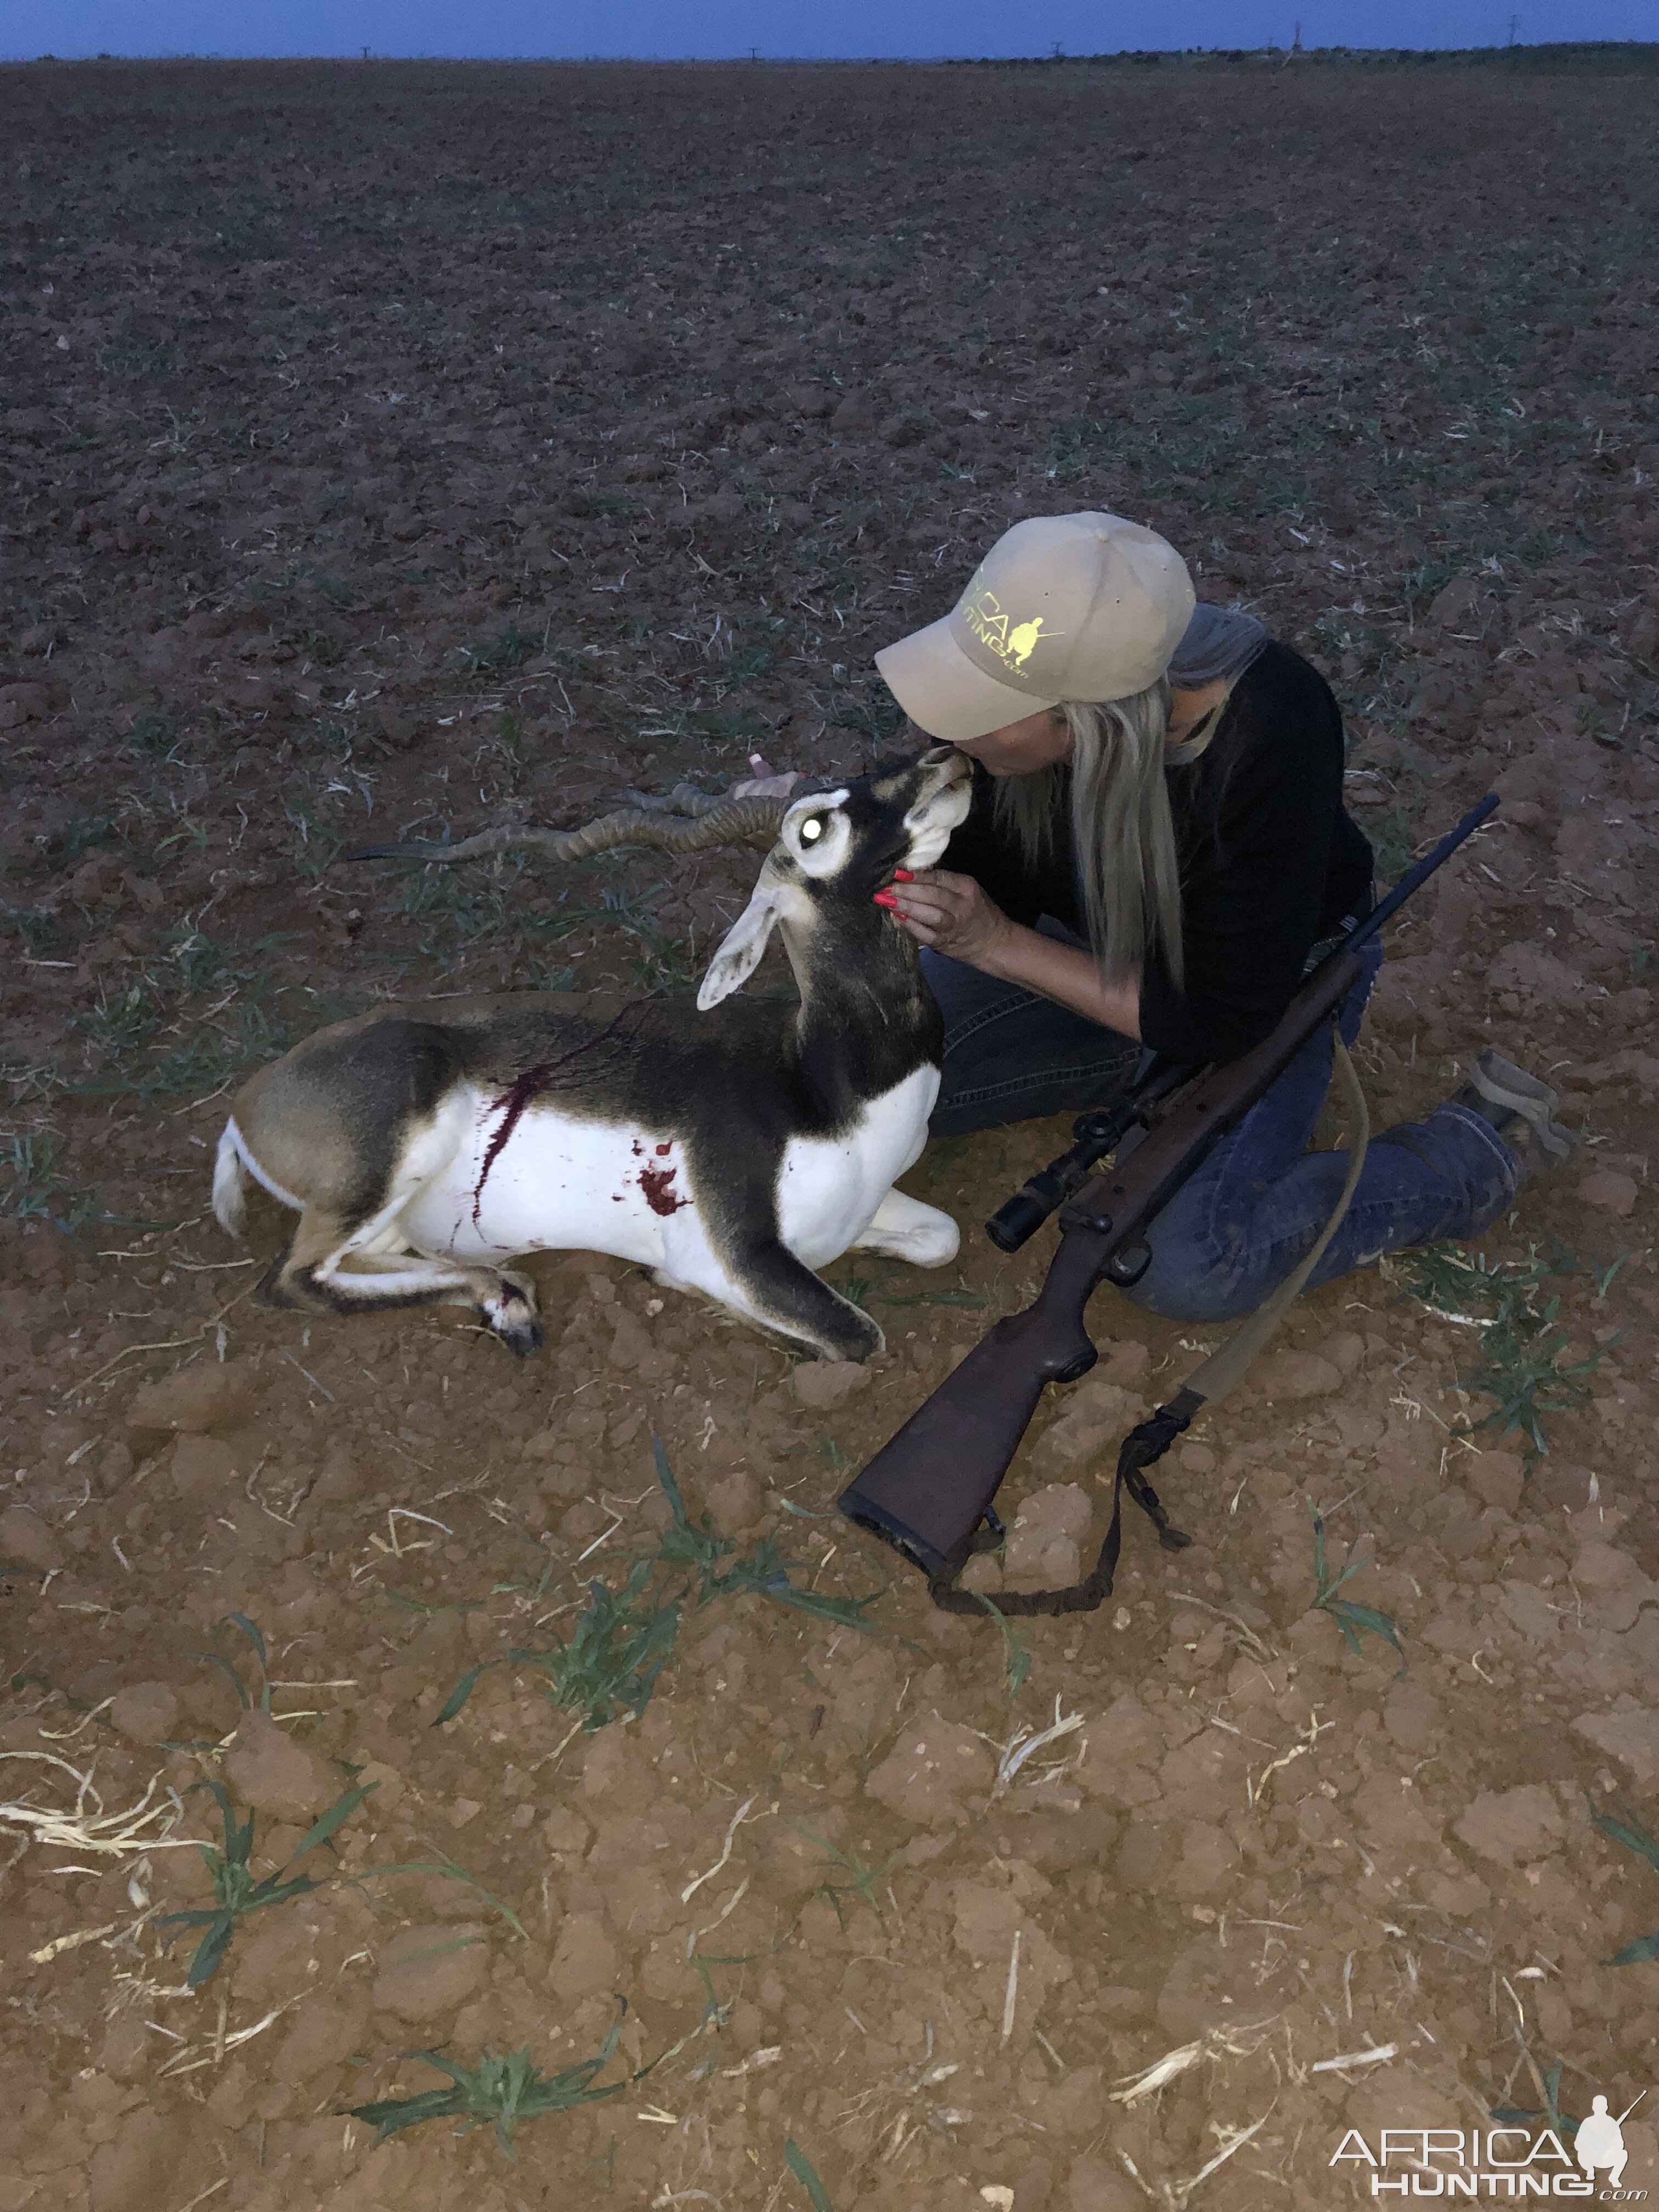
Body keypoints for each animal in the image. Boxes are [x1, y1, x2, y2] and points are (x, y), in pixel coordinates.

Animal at [216, 752, 982, 1353]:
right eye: (814, 825)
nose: (945, 759)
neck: (824, 1086)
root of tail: (249, 1104)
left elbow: (943, 1237)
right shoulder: (741, 1253)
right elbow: (858, 1336)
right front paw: (679, 1285)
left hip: (386, 1220)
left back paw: (506, 1297)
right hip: (386, 1159)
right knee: (289, 1281)